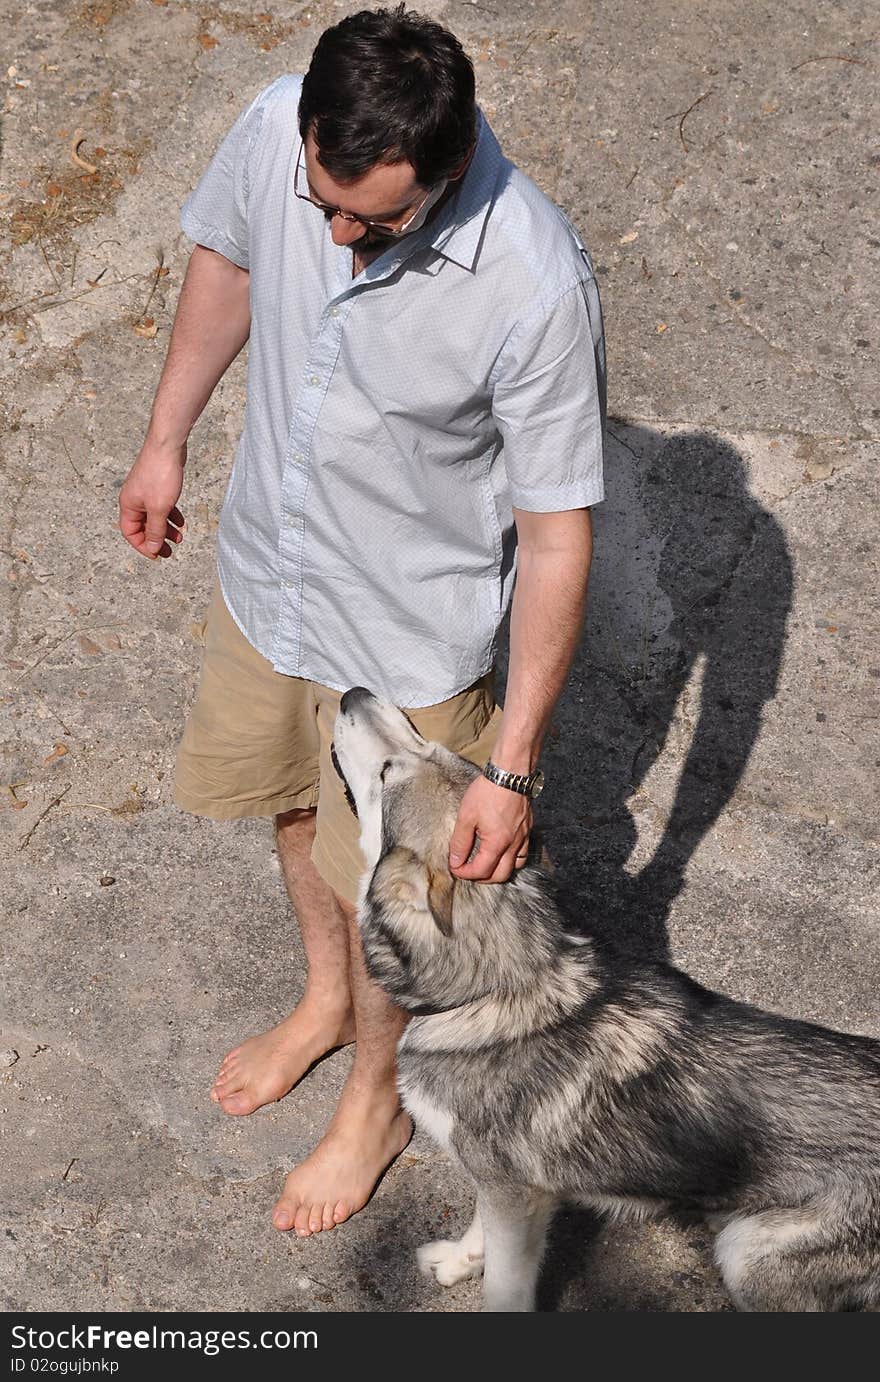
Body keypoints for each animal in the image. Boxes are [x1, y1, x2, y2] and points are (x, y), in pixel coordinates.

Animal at [328, 685, 878, 1310]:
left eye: (389, 770)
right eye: (417, 749)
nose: (353, 693)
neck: (495, 992)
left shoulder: (516, 1195)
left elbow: (505, 1289)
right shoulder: (503, 1186)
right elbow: (479, 1233)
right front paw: (458, 1263)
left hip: (748, 1256)